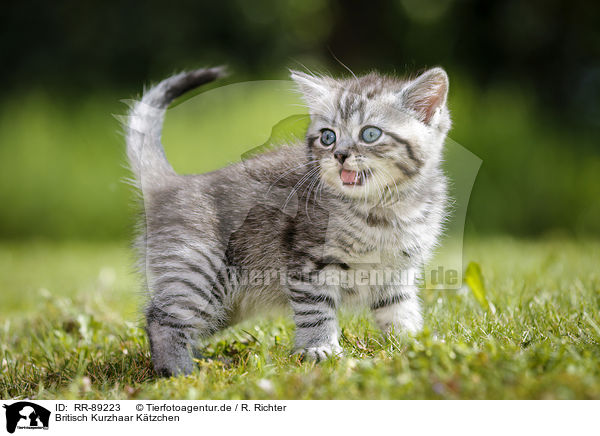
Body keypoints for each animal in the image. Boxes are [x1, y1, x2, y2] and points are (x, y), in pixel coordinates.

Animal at [124, 64, 448, 374]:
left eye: (370, 134)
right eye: (328, 137)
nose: (340, 155)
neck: (384, 210)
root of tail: (173, 184)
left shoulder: (396, 273)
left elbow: (400, 310)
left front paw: (414, 343)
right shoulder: (309, 263)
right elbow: (316, 310)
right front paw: (320, 349)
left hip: (224, 304)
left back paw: (207, 362)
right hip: (200, 272)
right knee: (161, 318)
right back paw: (180, 370)